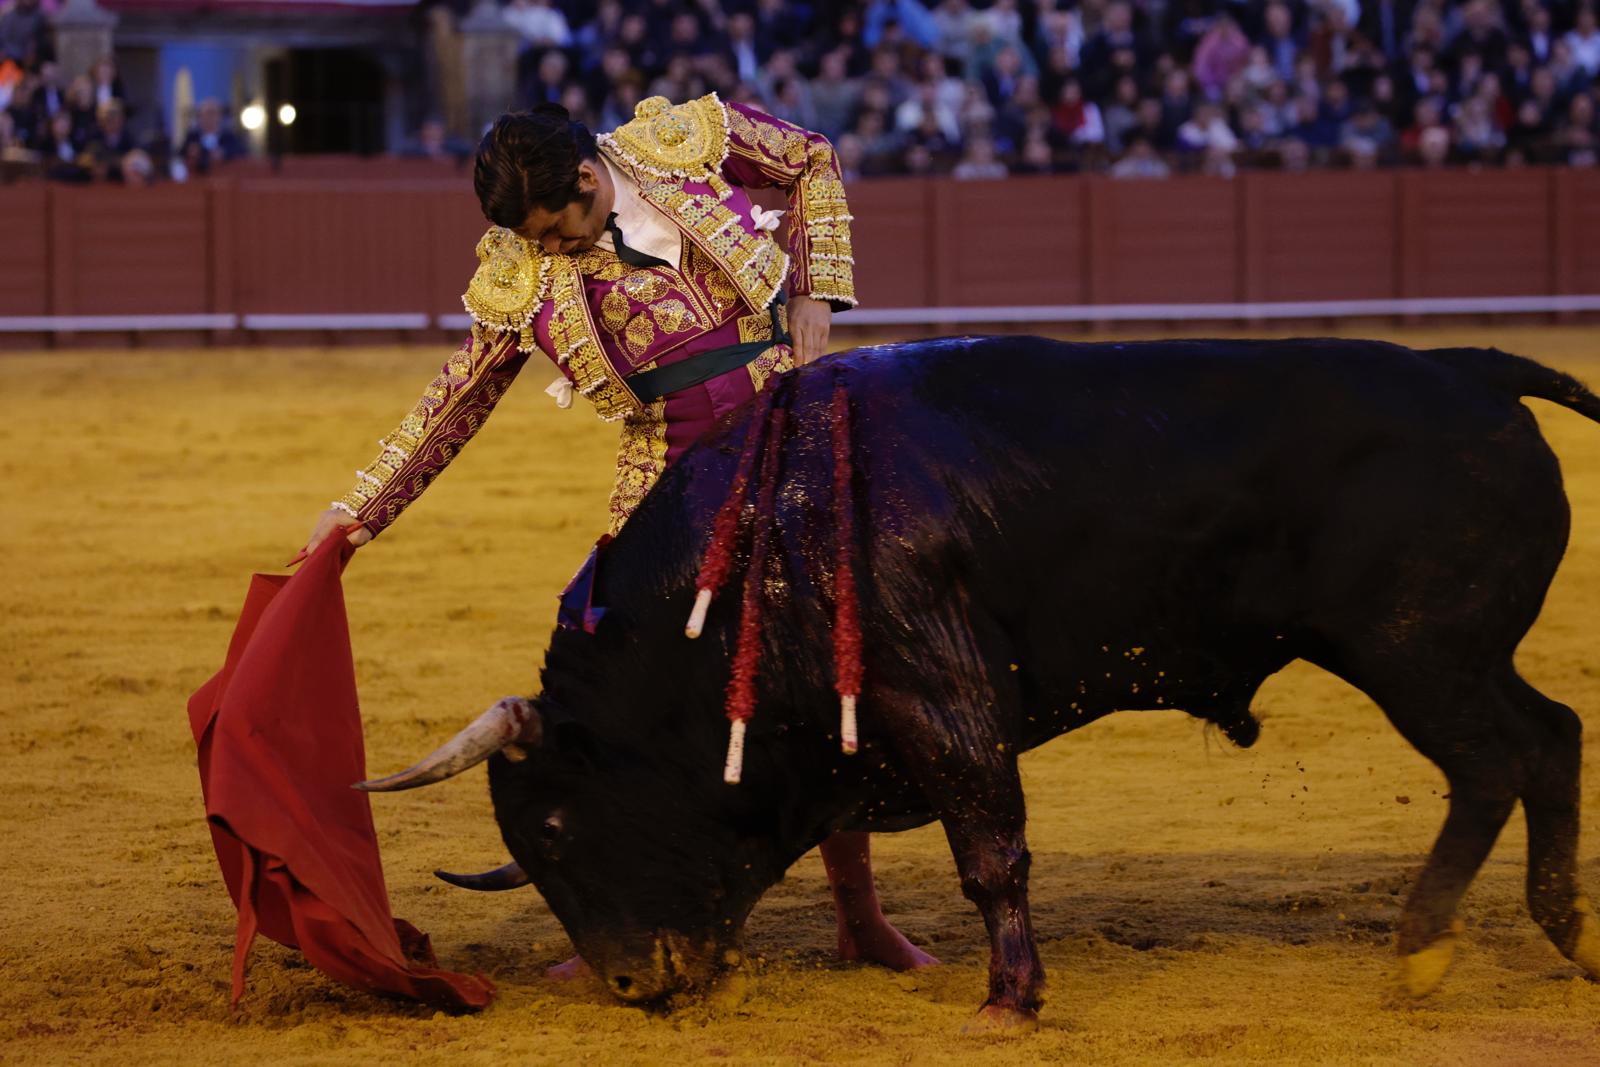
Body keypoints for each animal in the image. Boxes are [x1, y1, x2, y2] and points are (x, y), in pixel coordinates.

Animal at [366, 337, 1600, 1023]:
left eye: (557, 826)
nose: (629, 984)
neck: (767, 537)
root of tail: (1473, 371)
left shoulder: (940, 692)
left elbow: (990, 849)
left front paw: (1009, 999)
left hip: (1416, 652)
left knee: (1497, 762)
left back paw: (1424, 952)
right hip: (1451, 656)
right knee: (1551, 737)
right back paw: (1563, 934)